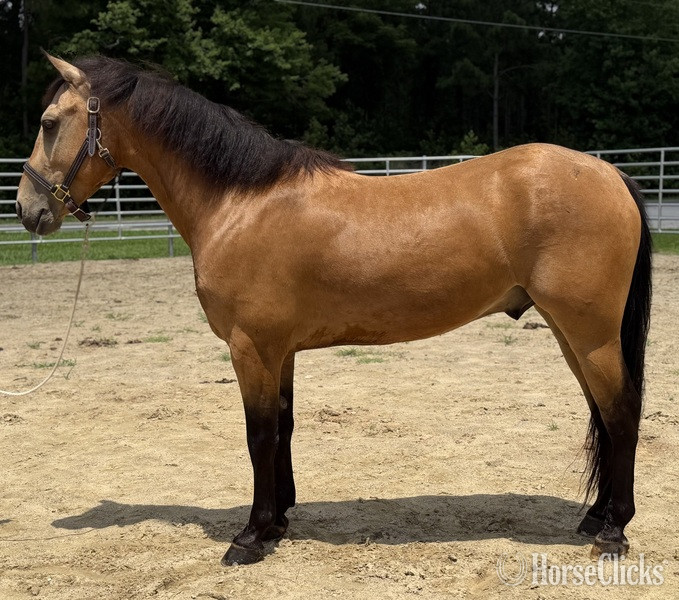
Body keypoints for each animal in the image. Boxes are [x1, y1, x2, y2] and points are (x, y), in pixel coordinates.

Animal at [16, 54, 652, 566]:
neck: (240, 202)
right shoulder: (280, 351)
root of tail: (610, 171)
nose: (27, 210)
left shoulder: (251, 348)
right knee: (601, 412)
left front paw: (250, 537)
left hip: (590, 333)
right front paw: (278, 522)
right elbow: (284, 429)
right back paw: (594, 518)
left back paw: (614, 531)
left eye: (49, 123)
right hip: (571, 334)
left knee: (620, 412)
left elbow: (259, 435)